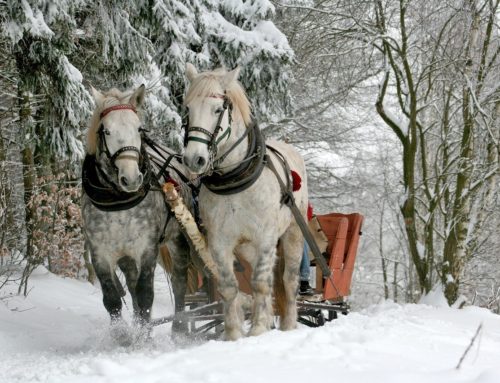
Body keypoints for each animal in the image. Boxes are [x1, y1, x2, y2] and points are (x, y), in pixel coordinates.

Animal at [182, 64, 306, 340]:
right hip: (247, 247)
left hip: (292, 233)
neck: (235, 178)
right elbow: (230, 287)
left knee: (288, 280)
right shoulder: (219, 242)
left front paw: (258, 329)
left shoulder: (266, 237)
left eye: (218, 109)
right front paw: (234, 334)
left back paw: (289, 325)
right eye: (188, 109)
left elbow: (260, 283)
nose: (194, 159)